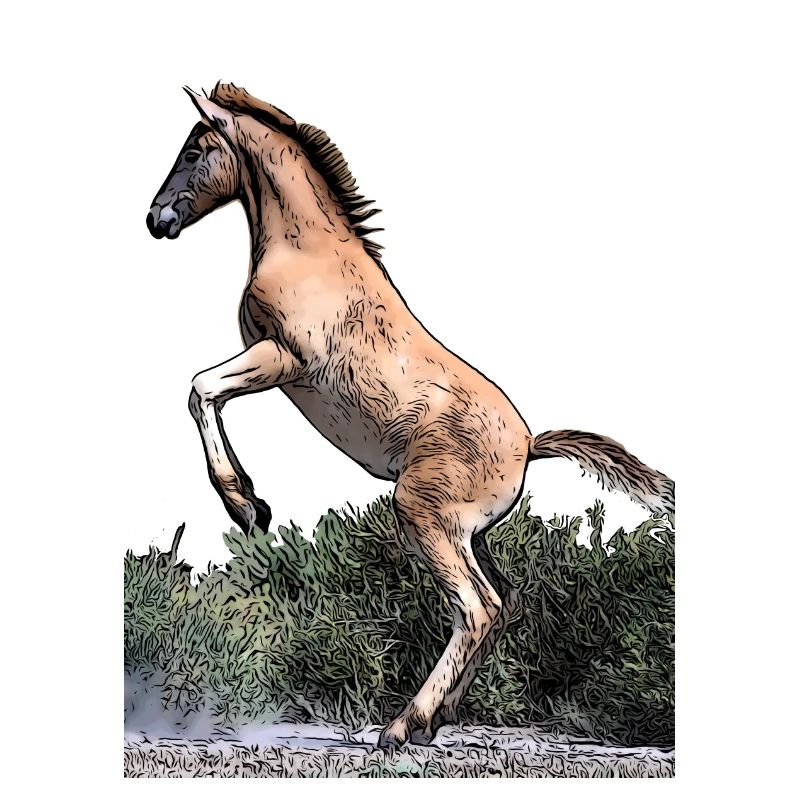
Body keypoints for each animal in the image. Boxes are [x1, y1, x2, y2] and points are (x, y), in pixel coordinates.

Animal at [146, 83, 674, 749]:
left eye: (194, 149)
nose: (156, 219)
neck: (307, 253)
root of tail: (529, 444)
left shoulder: (280, 358)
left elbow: (200, 389)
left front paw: (248, 507)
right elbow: (202, 391)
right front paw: (252, 507)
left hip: (423, 514)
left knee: (477, 607)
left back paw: (403, 725)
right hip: (470, 533)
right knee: (501, 603)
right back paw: (434, 721)